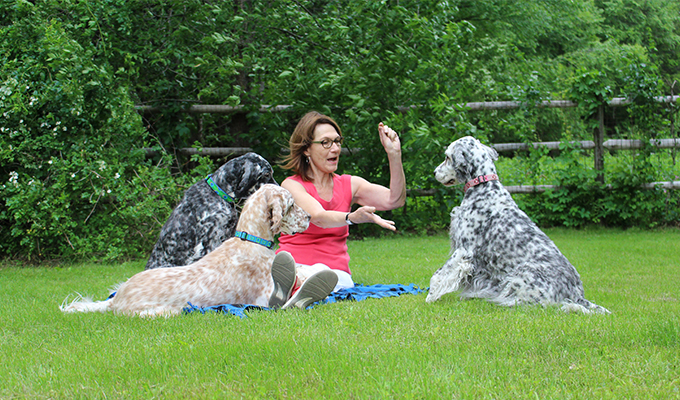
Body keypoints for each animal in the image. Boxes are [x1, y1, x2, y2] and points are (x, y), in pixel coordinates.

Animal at [424, 138, 612, 316]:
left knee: (536, 304)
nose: (434, 172)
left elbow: (437, 276)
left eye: (447, 157)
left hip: (523, 273)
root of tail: (577, 294)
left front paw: (429, 298)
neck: (483, 187)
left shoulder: (464, 250)